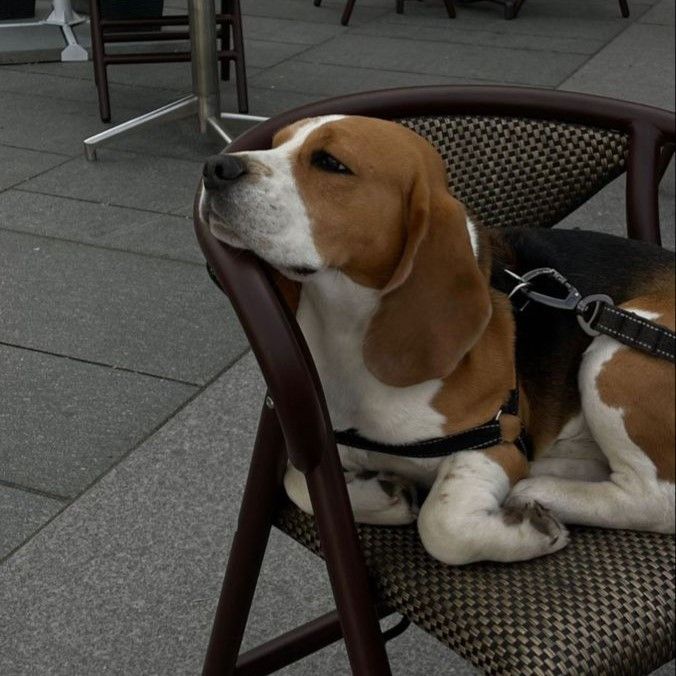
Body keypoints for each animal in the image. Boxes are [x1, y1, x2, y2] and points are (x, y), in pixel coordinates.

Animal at [198, 116, 672, 564]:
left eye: (330, 163)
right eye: (277, 144)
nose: (215, 166)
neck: (349, 332)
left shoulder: (494, 445)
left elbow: (442, 524)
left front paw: (529, 531)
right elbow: (295, 481)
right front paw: (385, 493)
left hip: (616, 352)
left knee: (653, 499)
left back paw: (541, 491)